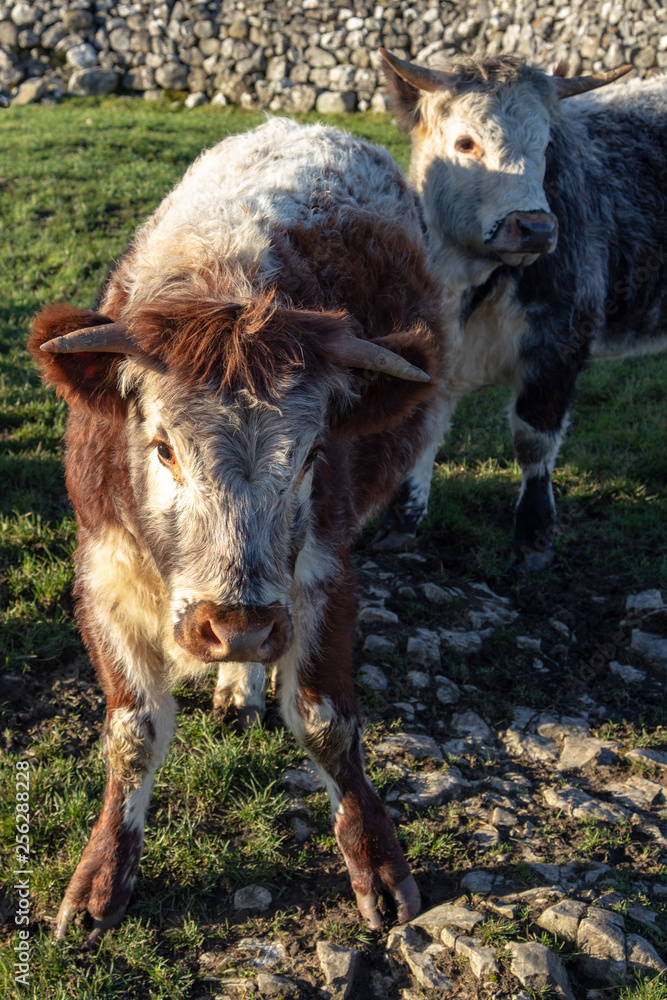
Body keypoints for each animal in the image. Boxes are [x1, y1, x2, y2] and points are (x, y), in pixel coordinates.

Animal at [29, 118, 445, 945]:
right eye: (162, 447)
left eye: (313, 453)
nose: (237, 627)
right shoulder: (103, 570)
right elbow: (133, 733)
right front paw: (101, 879)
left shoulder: (322, 575)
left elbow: (326, 721)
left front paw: (377, 866)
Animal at [375, 50, 667, 568]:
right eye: (465, 142)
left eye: (547, 146)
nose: (534, 228)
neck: (471, 282)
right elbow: (422, 428)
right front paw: (401, 521)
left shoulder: (559, 344)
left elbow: (534, 439)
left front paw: (534, 535)